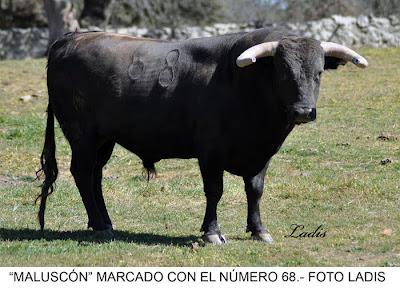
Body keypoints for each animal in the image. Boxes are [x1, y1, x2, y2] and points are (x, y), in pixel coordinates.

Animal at [36, 28, 368, 245]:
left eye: (319, 73)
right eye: (283, 71)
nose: (303, 111)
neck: (247, 85)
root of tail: (70, 39)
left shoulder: (261, 154)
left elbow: (255, 190)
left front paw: (259, 230)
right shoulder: (210, 153)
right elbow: (214, 191)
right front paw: (212, 232)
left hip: (104, 140)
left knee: (95, 176)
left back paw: (103, 222)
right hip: (83, 136)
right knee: (82, 173)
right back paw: (100, 225)